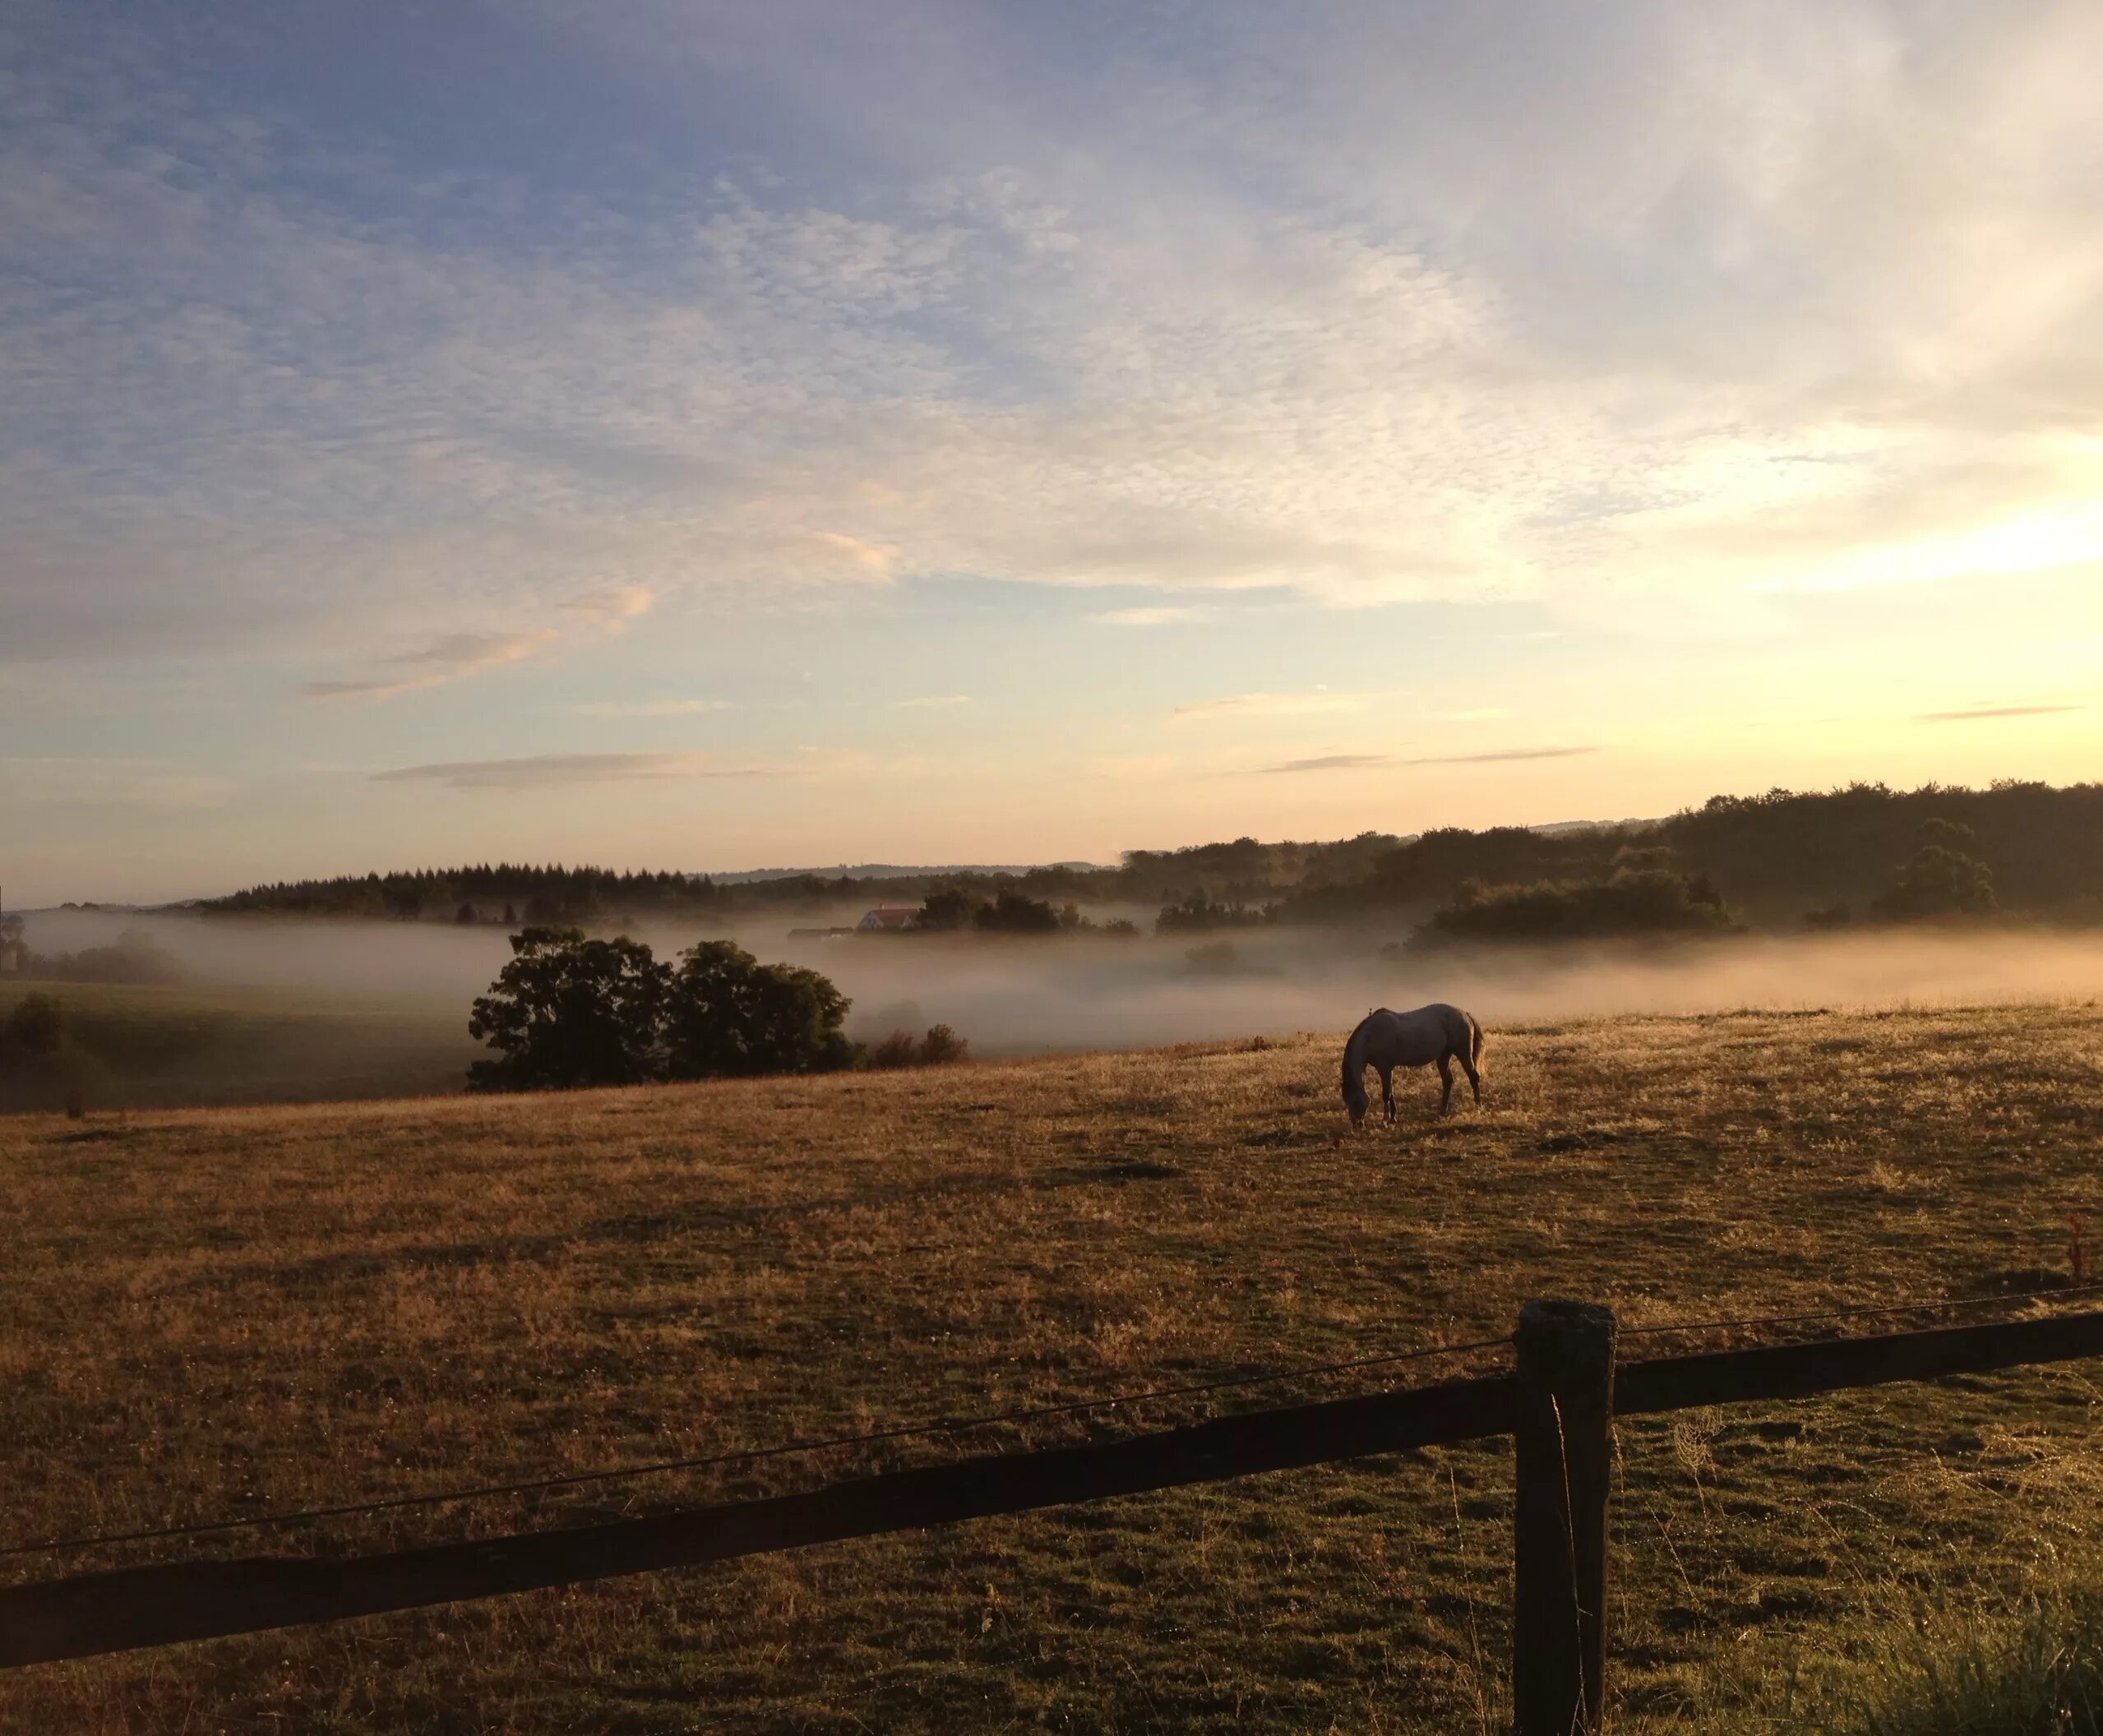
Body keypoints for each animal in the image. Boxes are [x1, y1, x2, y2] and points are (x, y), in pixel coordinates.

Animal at [1337, 1000, 1489, 1126]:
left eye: (1352, 1100)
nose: (1357, 1124)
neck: (1370, 1036)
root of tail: (1464, 1013)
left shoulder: (1384, 1068)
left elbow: (1386, 1094)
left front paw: (1385, 1120)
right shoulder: (1389, 1069)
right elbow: (1391, 1092)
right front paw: (1393, 1118)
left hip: (1462, 1053)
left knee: (1473, 1077)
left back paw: (1478, 1107)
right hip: (1443, 1056)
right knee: (1447, 1081)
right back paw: (1442, 1111)